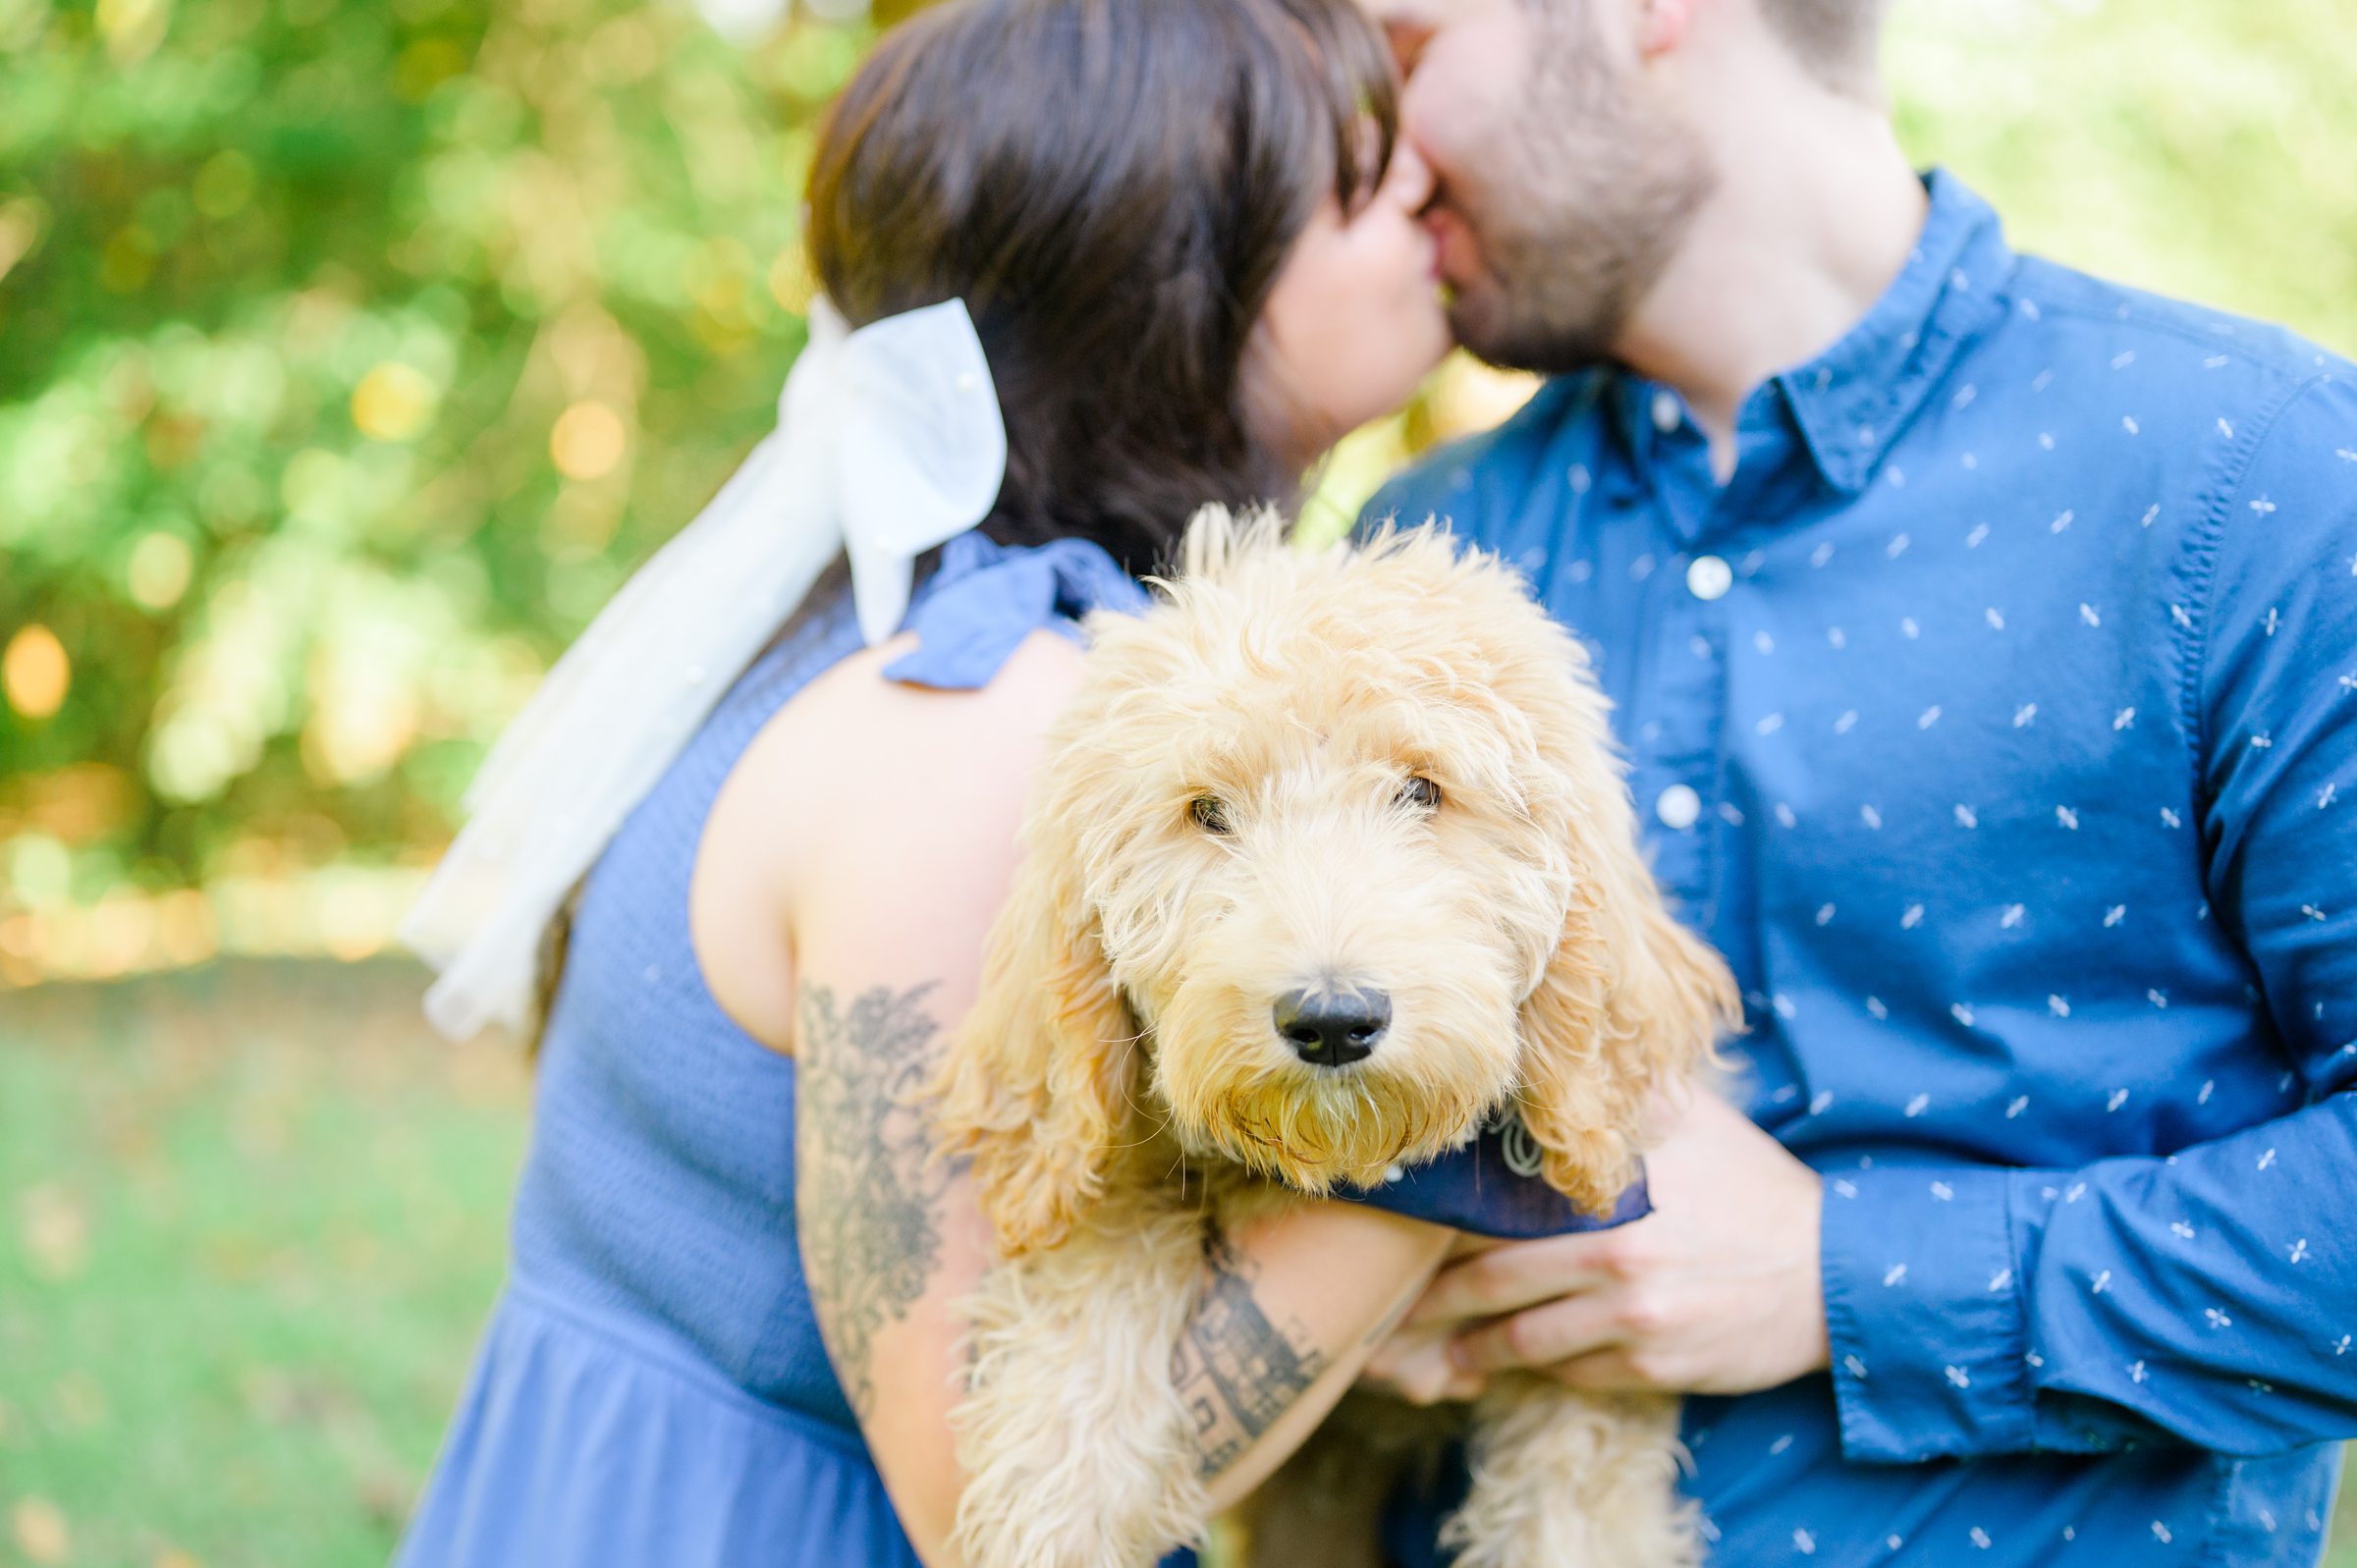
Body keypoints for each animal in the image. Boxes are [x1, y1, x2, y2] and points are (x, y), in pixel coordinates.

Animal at [928, 507, 1744, 1555]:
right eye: (1206, 812)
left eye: (1423, 790)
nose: (1331, 1021)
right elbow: (1106, 1240)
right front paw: (1059, 1485)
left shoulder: (1585, 1376)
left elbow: (1575, 1522)